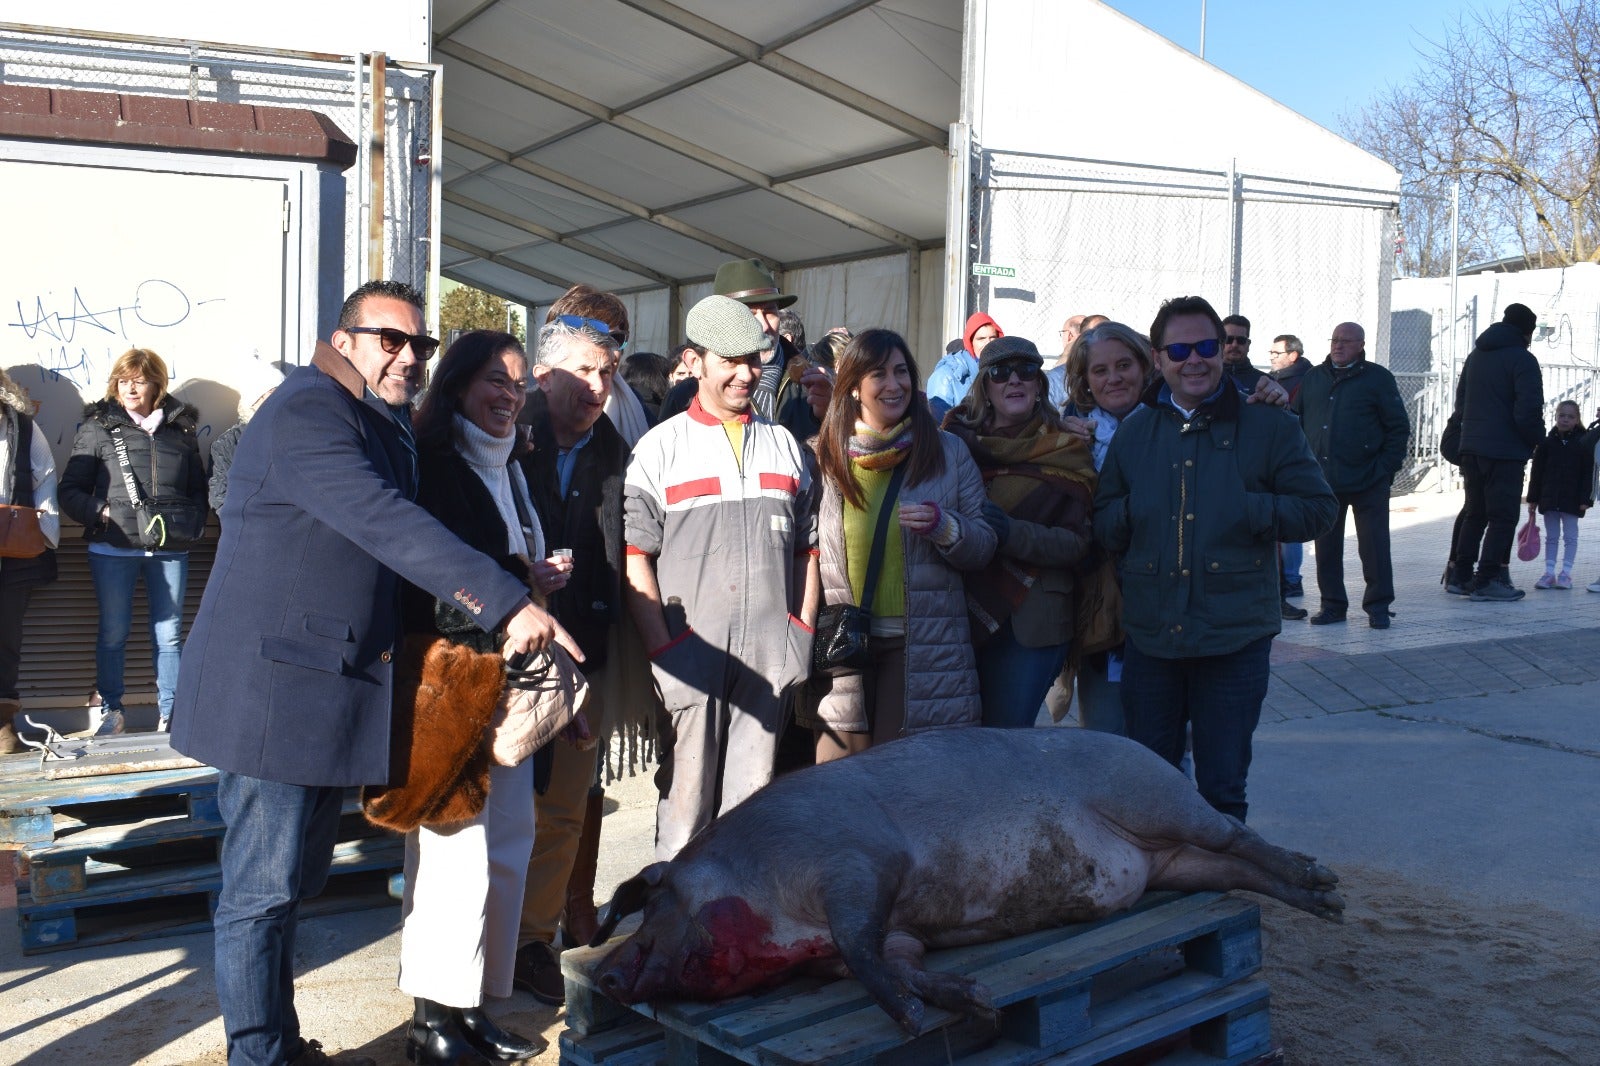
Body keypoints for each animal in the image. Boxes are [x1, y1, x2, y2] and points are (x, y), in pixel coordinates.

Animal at [588, 723, 1337, 1030]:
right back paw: (1318, 901)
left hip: (1155, 796)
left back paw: (1324, 885)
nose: (604, 975)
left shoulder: (856, 862)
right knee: (1230, 866)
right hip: (1170, 863)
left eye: (653, 901)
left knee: (1236, 833)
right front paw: (976, 1003)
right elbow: (898, 961)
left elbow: (864, 947)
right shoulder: (884, 939)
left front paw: (912, 1019)